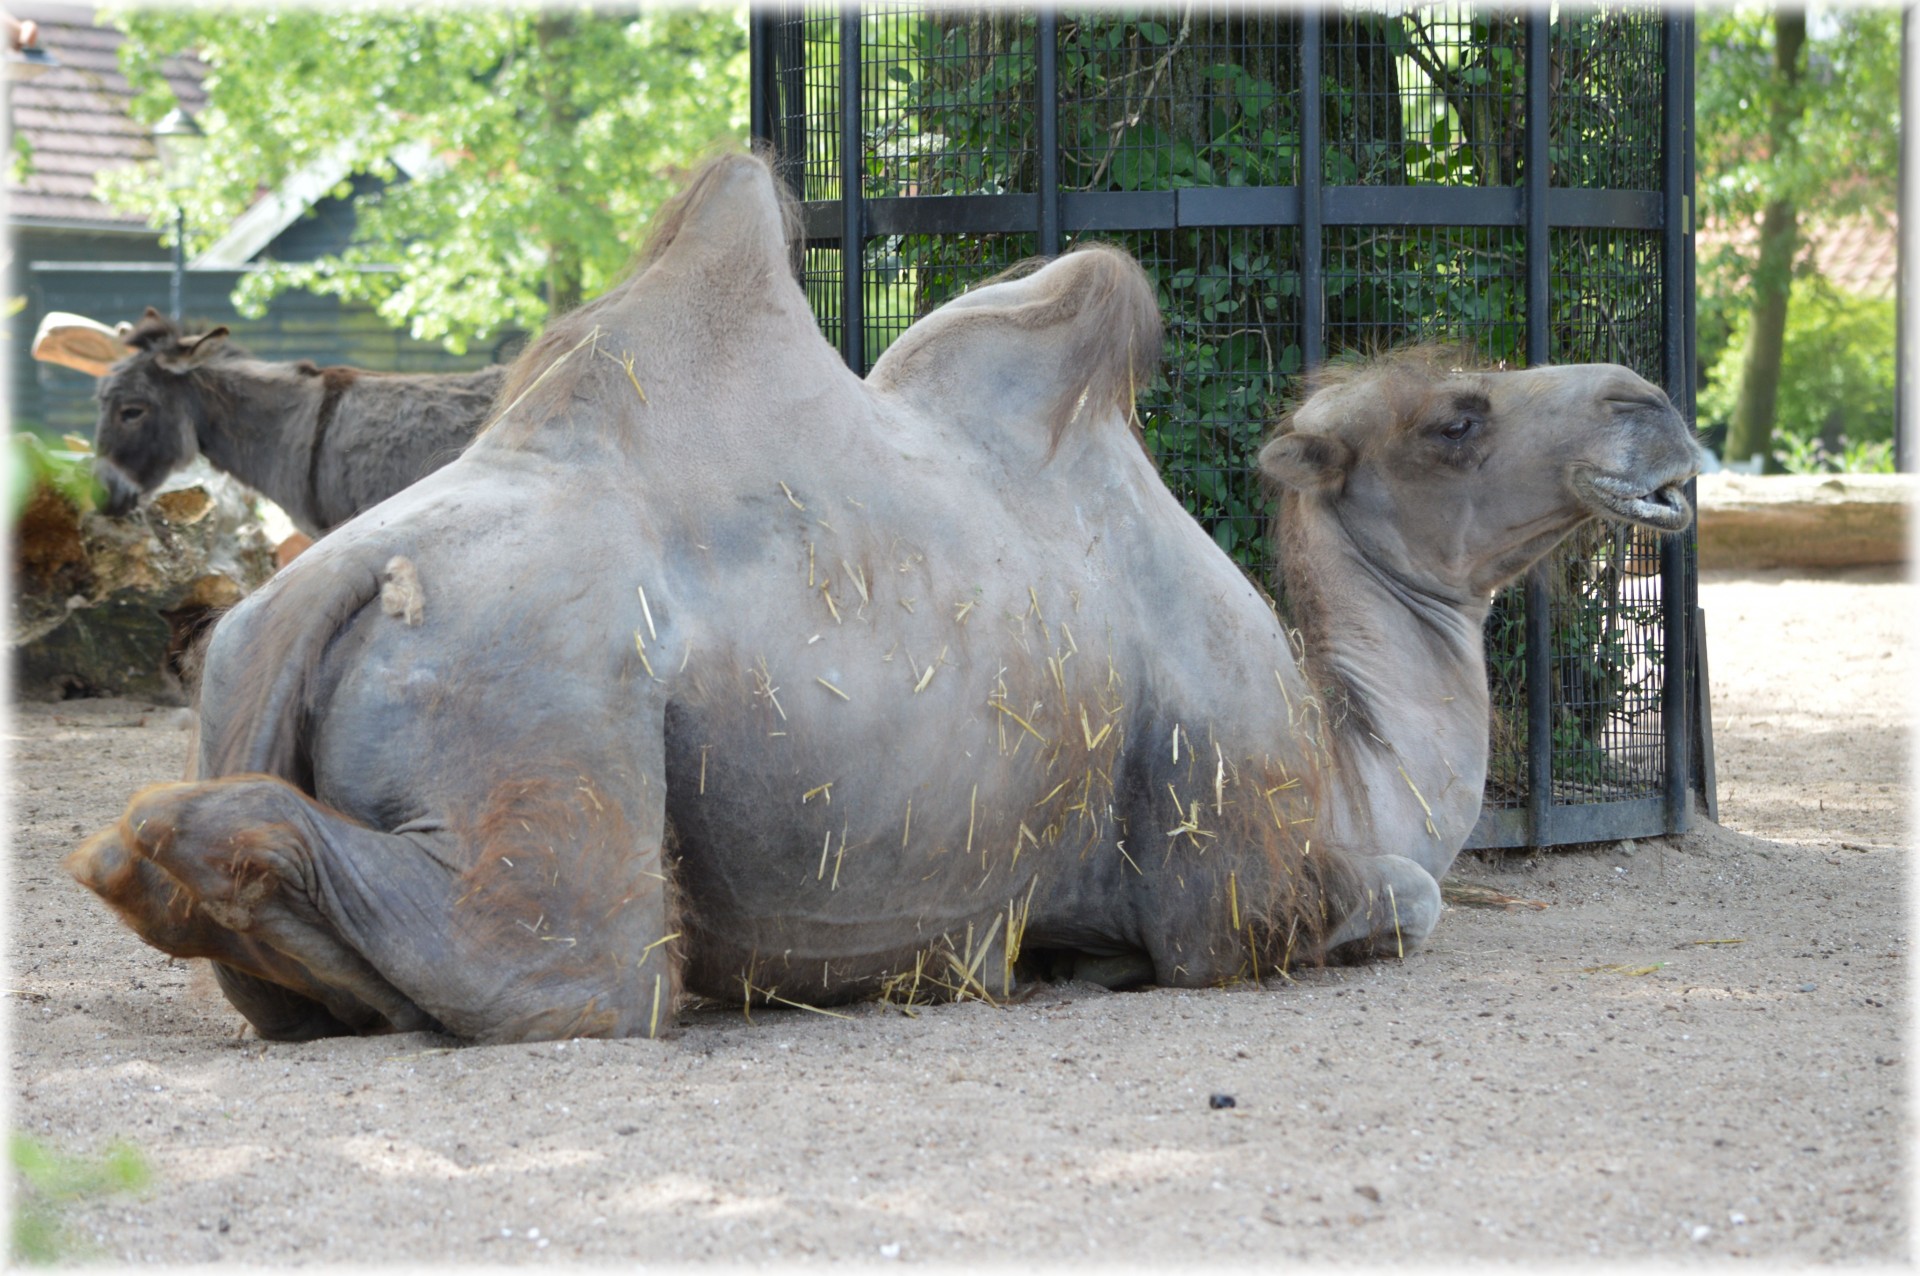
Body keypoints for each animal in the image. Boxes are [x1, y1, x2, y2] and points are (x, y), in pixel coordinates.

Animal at [67, 151, 1704, 1043]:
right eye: (1456, 418)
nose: (1655, 411)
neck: (1349, 758)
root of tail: (320, 581)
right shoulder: (1237, 873)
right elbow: (1407, 902)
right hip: (543, 718)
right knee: (562, 966)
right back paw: (165, 850)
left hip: (269, 678)